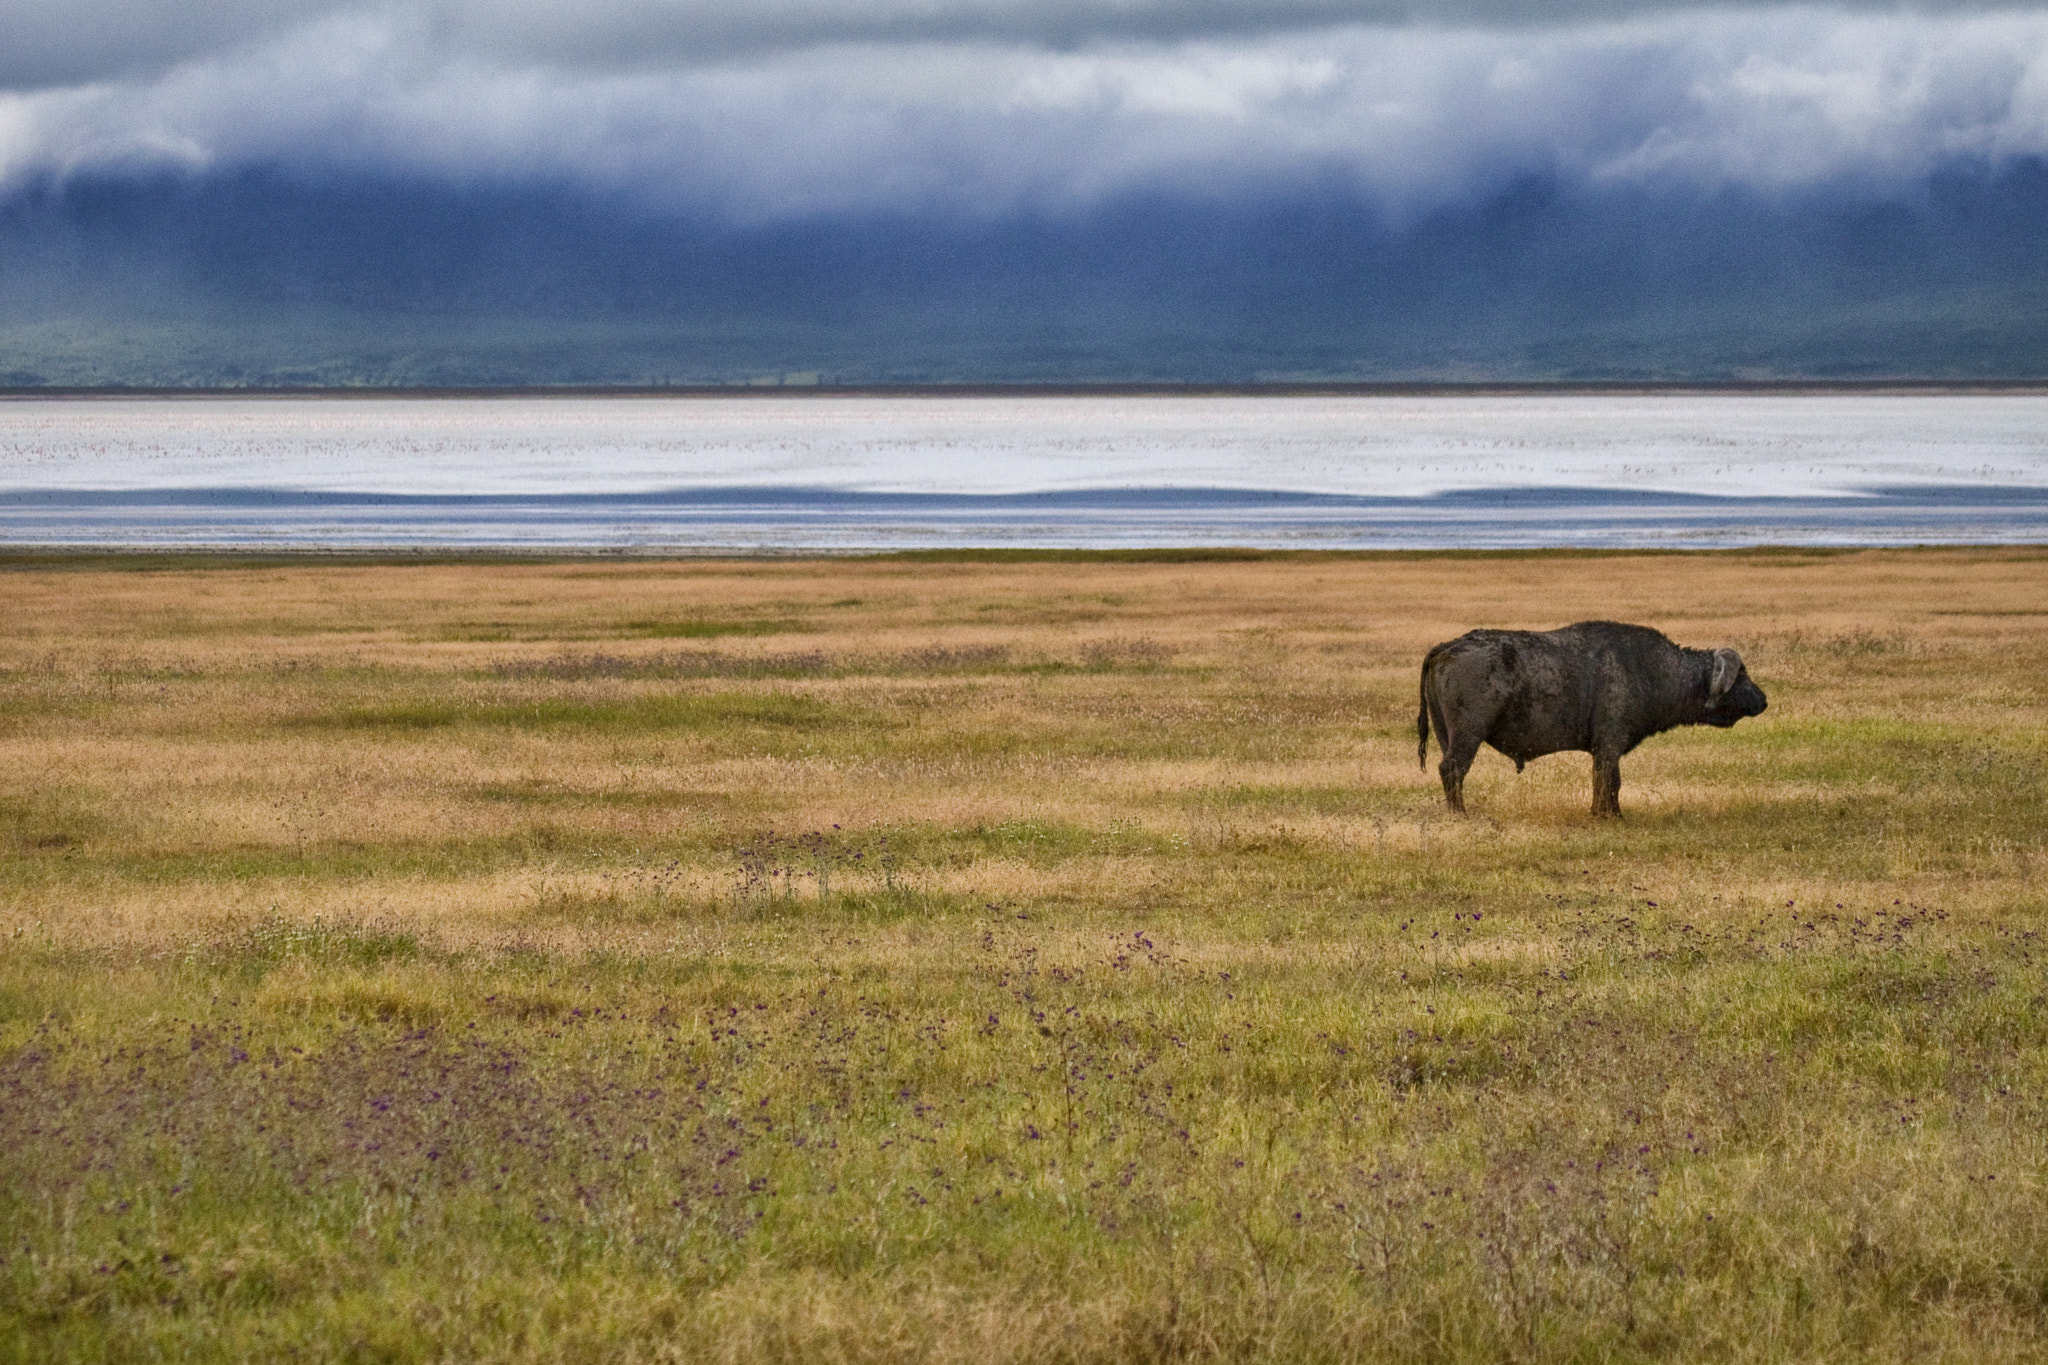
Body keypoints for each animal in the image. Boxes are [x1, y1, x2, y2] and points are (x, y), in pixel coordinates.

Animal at [1417, 622, 1769, 822]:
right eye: (1742, 675)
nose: (1763, 700)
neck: (1651, 670)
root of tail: (1447, 648)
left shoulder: (1605, 750)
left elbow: (1607, 781)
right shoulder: (1609, 746)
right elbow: (1609, 781)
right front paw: (1608, 816)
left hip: (1445, 735)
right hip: (1468, 735)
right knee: (1453, 769)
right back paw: (1460, 813)